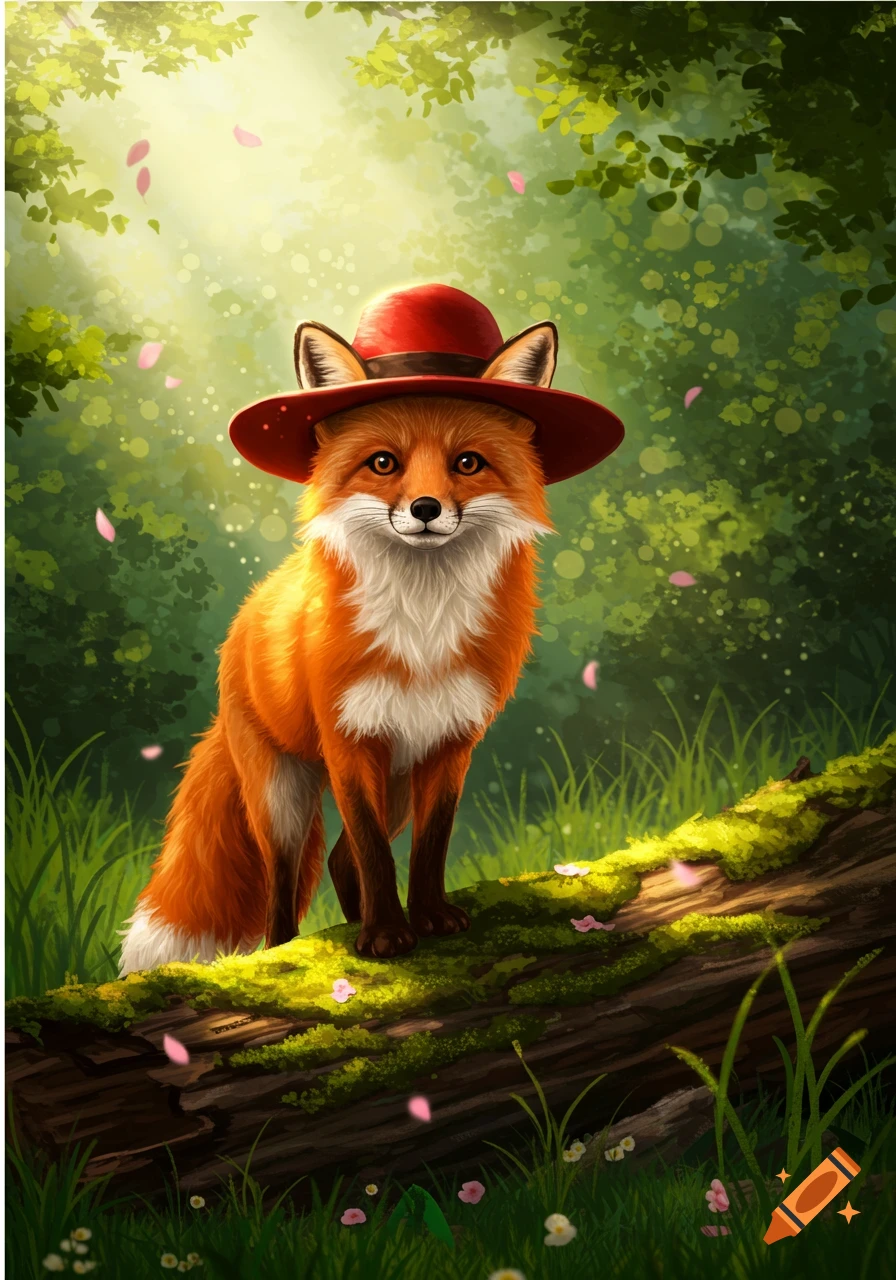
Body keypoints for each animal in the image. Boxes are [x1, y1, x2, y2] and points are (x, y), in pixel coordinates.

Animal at [118, 314, 561, 974]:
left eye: (467, 462)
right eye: (383, 462)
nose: (425, 508)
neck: (421, 626)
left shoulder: (450, 743)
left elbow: (429, 847)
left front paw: (427, 919)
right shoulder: (350, 739)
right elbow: (375, 852)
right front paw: (385, 937)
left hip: (395, 784)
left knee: (337, 860)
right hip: (282, 801)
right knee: (284, 886)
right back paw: (287, 948)